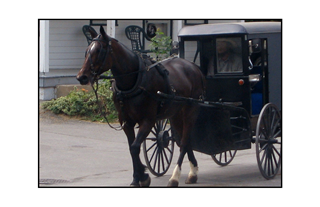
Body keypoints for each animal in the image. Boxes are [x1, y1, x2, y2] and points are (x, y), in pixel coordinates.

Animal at [76, 25, 205, 186]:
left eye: (99, 51)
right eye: (87, 50)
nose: (81, 77)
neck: (133, 82)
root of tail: (194, 66)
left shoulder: (148, 121)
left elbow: (135, 146)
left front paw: (143, 177)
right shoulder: (126, 122)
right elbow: (131, 148)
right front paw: (138, 177)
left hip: (190, 110)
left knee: (185, 140)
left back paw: (175, 177)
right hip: (175, 114)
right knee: (184, 141)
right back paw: (193, 172)